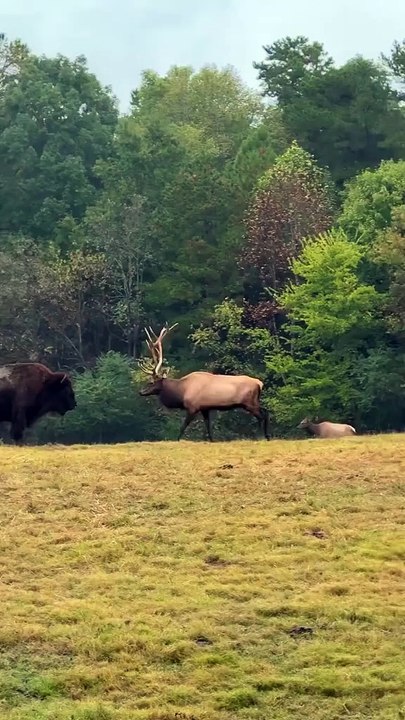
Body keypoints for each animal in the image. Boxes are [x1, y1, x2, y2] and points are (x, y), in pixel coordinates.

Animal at [138, 324, 270, 442]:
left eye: (151, 382)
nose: (140, 392)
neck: (181, 392)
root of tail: (260, 383)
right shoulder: (205, 408)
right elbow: (208, 426)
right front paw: (212, 440)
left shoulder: (192, 407)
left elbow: (183, 426)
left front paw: (176, 439)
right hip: (253, 401)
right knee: (266, 411)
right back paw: (266, 436)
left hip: (249, 403)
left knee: (261, 416)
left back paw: (261, 436)